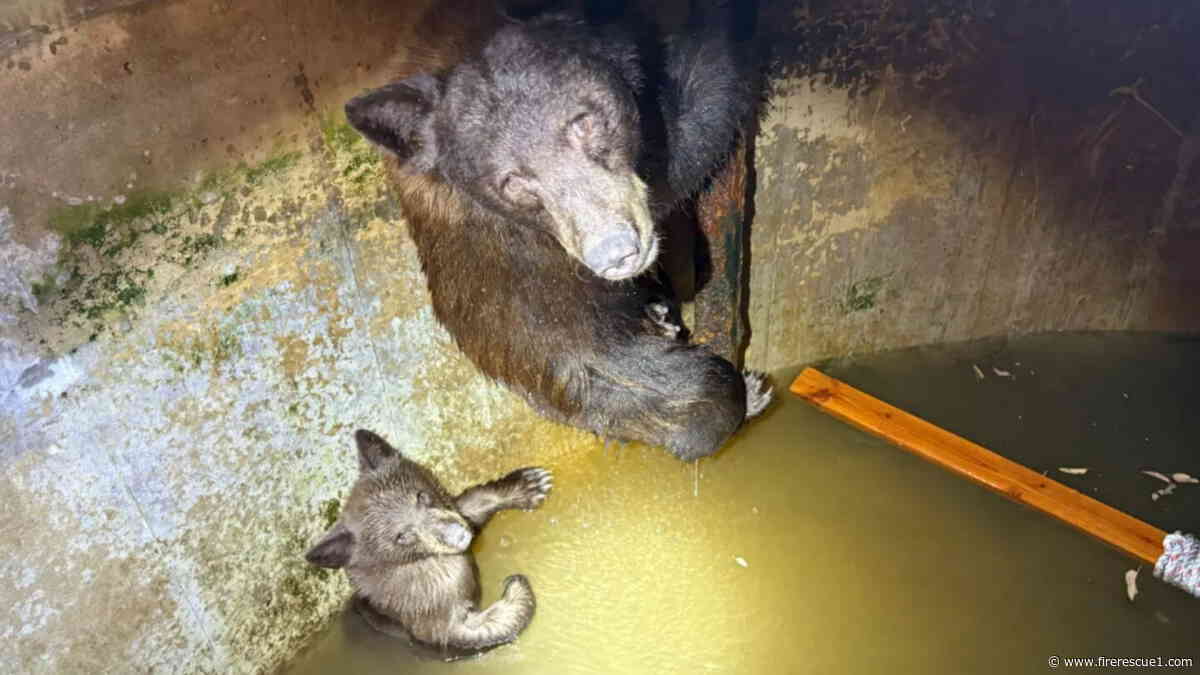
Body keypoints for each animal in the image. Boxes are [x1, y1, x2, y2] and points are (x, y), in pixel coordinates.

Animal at [305, 429, 552, 654]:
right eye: (401, 536)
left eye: (421, 495)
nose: (458, 535)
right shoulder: (430, 619)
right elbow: (478, 631)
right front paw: (516, 588)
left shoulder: (453, 510)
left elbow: (473, 501)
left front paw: (529, 484)